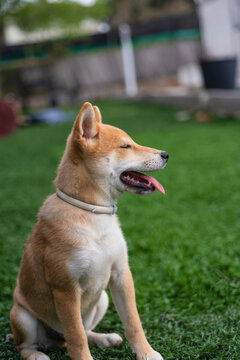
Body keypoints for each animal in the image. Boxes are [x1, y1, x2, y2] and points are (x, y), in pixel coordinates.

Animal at [10, 102, 169, 360]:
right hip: (22, 317)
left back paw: (105, 338)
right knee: (30, 344)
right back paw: (37, 355)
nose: (166, 154)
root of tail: (55, 341)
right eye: (125, 146)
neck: (94, 214)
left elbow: (133, 322)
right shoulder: (65, 288)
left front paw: (146, 353)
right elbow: (76, 336)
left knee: (84, 331)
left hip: (102, 299)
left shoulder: (121, 274)